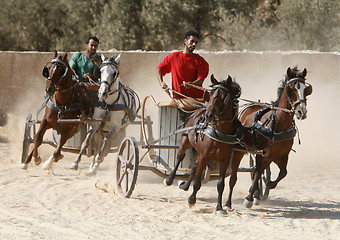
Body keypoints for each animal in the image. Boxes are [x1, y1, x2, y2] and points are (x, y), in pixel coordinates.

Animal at [163, 74, 240, 214]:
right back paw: (169, 179)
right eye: (209, 94)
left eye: (223, 97)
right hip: (186, 142)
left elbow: (220, 184)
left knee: (194, 166)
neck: (219, 132)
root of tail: (199, 110)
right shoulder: (204, 156)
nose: (209, 115)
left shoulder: (224, 160)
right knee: (180, 157)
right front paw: (191, 200)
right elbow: (197, 182)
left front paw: (219, 207)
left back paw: (185, 185)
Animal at [226, 66, 314, 210]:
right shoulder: (261, 153)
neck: (278, 123)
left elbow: (283, 172)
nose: (302, 112)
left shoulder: (281, 155)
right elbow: (258, 172)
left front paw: (267, 185)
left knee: (258, 171)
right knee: (255, 170)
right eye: (291, 88)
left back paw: (257, 193)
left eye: (307, 90)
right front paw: (249, 198)